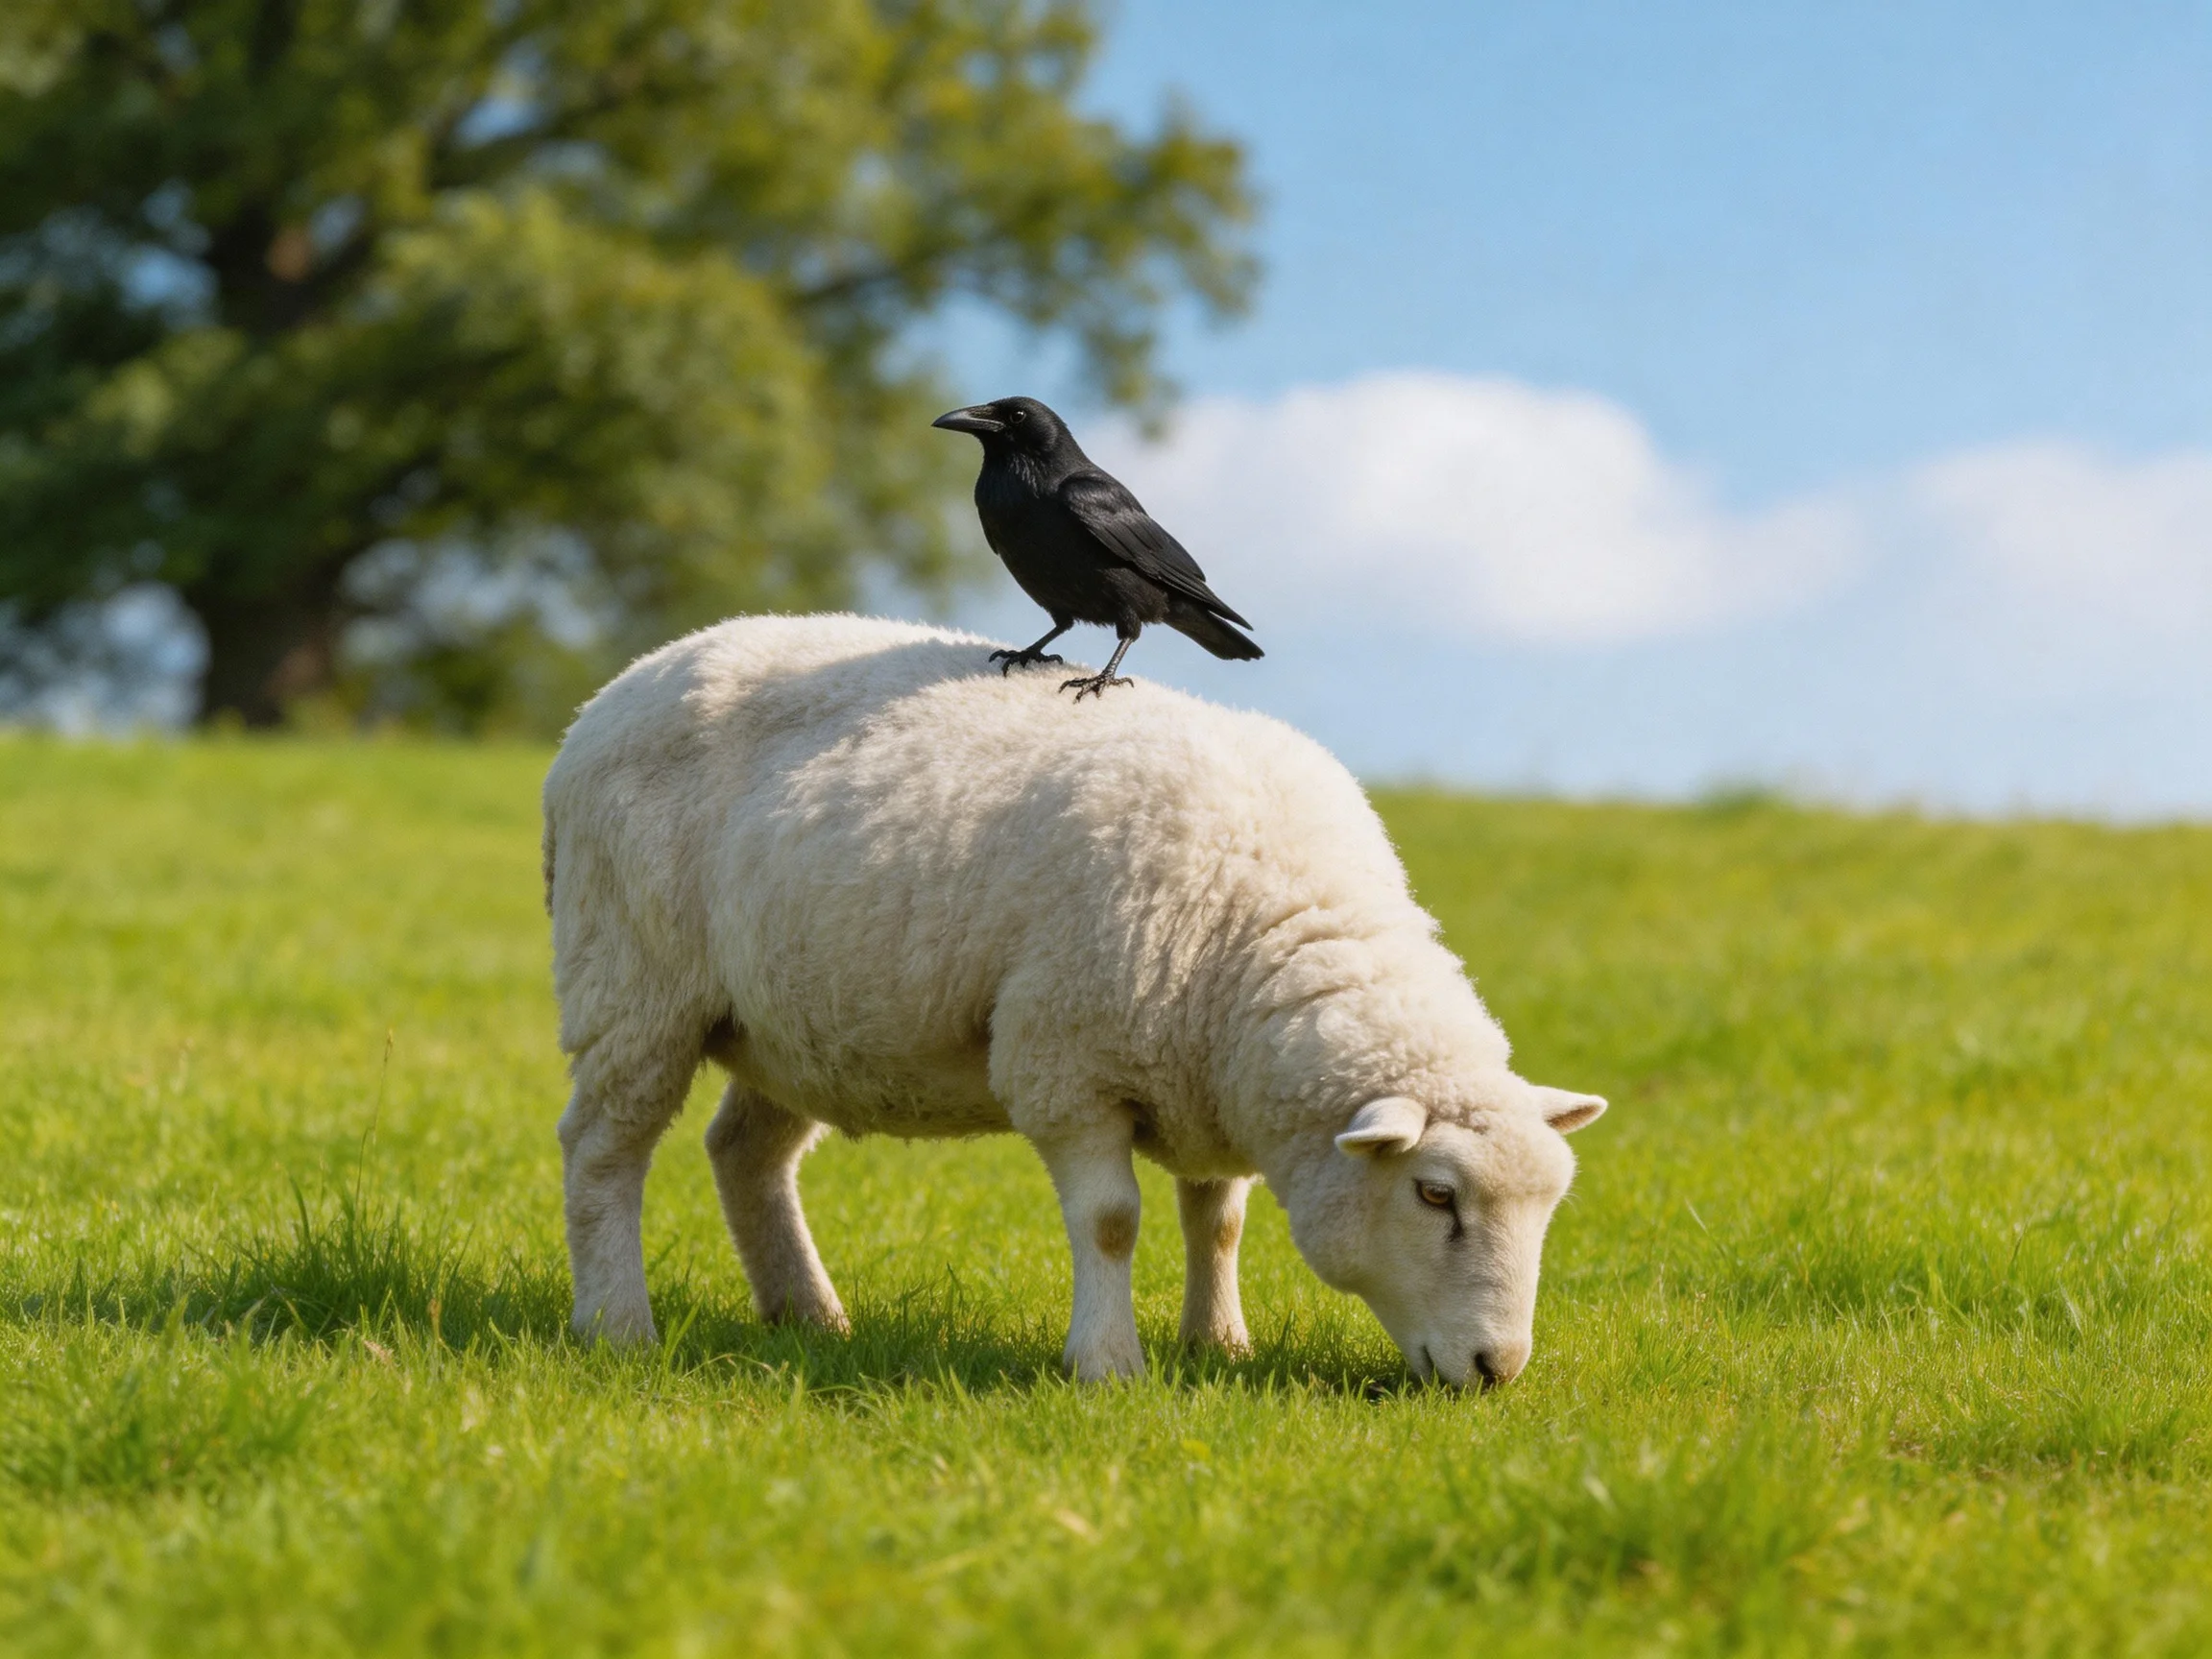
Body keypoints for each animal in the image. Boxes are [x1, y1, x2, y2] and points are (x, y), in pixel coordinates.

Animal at [542, 613, 1607, 1386]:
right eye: (1436, 1194)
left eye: (1552, 1203)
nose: (1497, 1368)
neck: (1269, 917)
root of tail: (618, 688)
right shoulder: (1066, 1064)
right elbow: (1111, 1221)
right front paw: (1107, 1365)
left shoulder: (1208, 1073)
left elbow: (1217, 1219)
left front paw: (1218, 1342)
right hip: (632, 979)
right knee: (603, 1150)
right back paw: (616, 1325)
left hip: (794, 1016)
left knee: (745, 1154)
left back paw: (809, 1316)